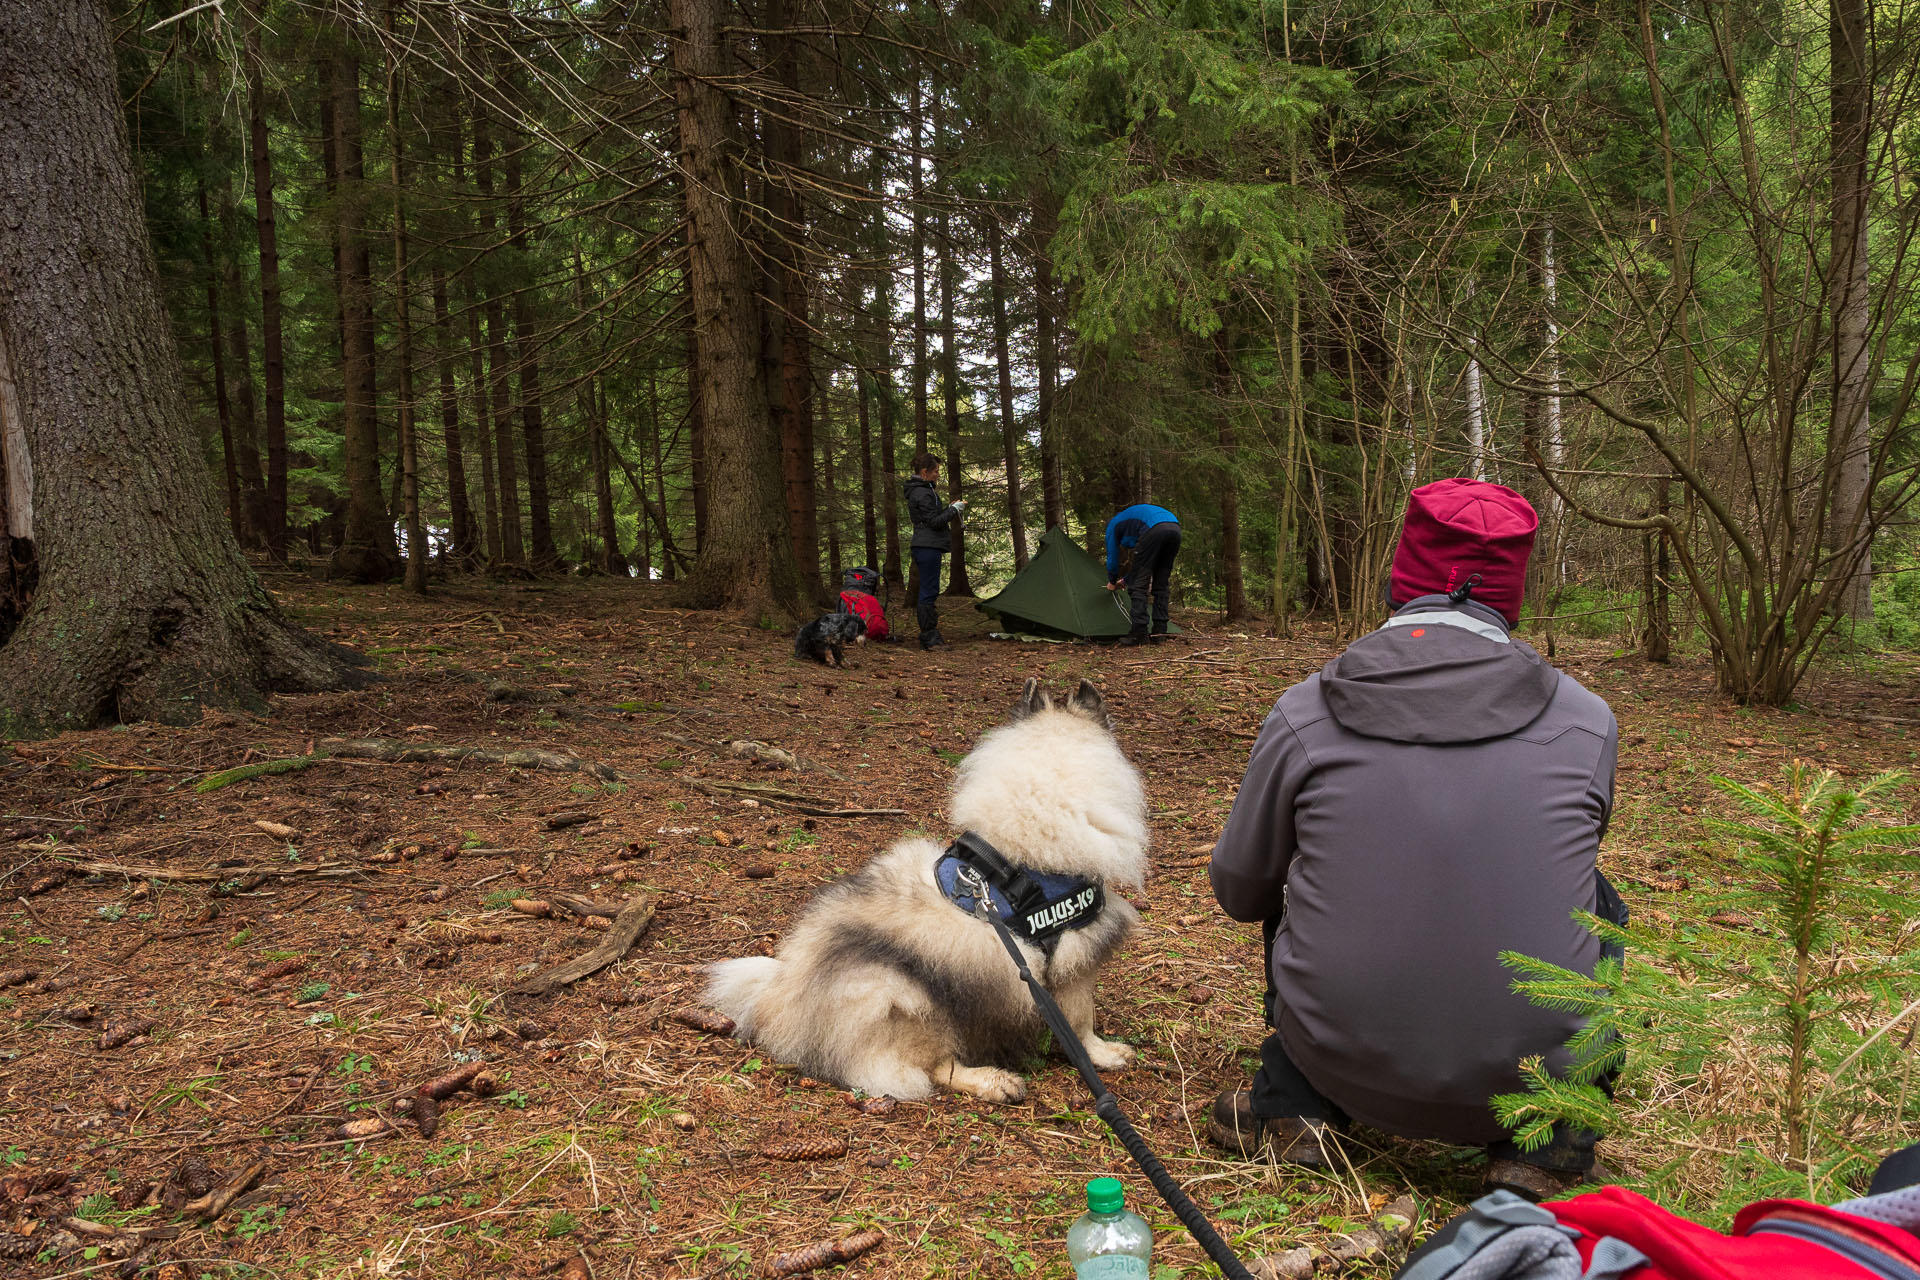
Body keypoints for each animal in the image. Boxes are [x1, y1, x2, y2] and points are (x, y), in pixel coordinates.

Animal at [714, 675, 1144, 1105]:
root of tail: (784, 1008)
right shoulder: (1075, 957)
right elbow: (1082, 1022)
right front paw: (1104, 1055)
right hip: (910, 1001)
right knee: (938, 1068)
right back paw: (994, 1080)